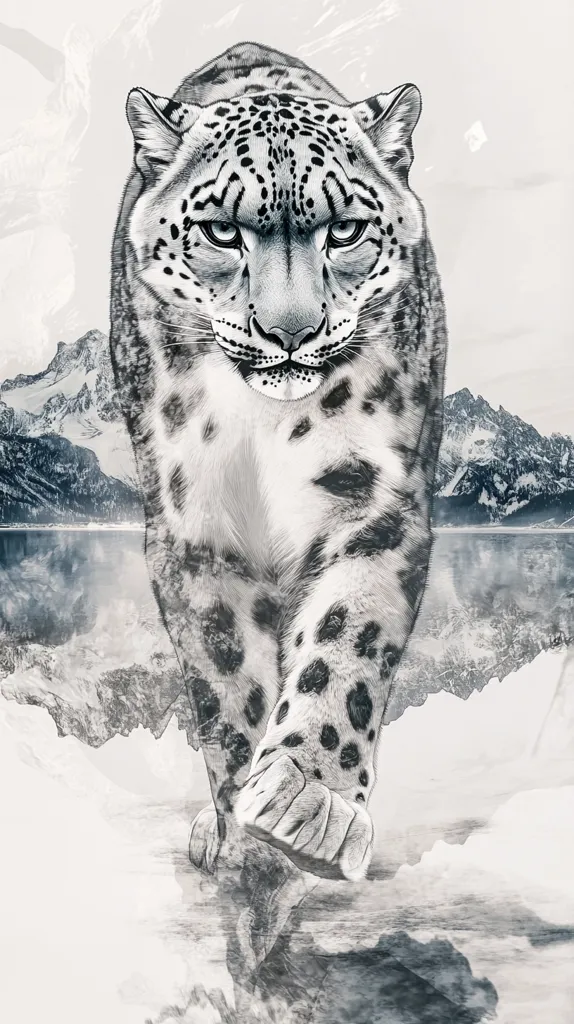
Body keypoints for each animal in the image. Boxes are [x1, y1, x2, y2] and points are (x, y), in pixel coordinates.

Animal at [109, 41, 447, 885]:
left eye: (346, 229)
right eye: (222, 232)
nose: (291, 331)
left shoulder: (373, 495)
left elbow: (346, 638)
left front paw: (309, 804)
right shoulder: (193, 523)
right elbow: (226, 679)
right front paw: (247, 831)